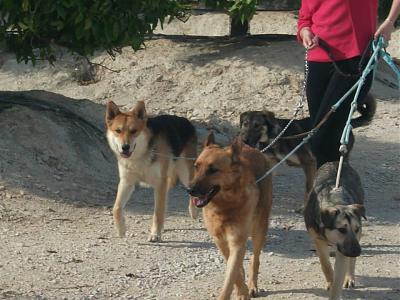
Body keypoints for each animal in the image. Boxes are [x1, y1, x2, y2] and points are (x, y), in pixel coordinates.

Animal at [105, 101, 198, 241]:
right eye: (118, 131)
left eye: (134, 131)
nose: (125, 147)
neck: (140, 156)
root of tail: (186, 120)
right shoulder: (127, 182)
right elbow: (116, 208)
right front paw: (121, 229)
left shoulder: (159, 183)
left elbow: (157, 212)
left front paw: (155, 234)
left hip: (185, 174)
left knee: (192, 192)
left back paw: (193, 212)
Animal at [189, 134, 274, 300]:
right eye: (196, 166)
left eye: (213, 170)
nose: (190, 190)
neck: (225, 205)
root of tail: (253, 149)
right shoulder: (220, 241)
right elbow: (234, 271)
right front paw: (241, 291)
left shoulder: (237, 241)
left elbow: (231, 274)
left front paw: (243, 291)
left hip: (259, 230)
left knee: (255, 259)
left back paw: (252, 285)